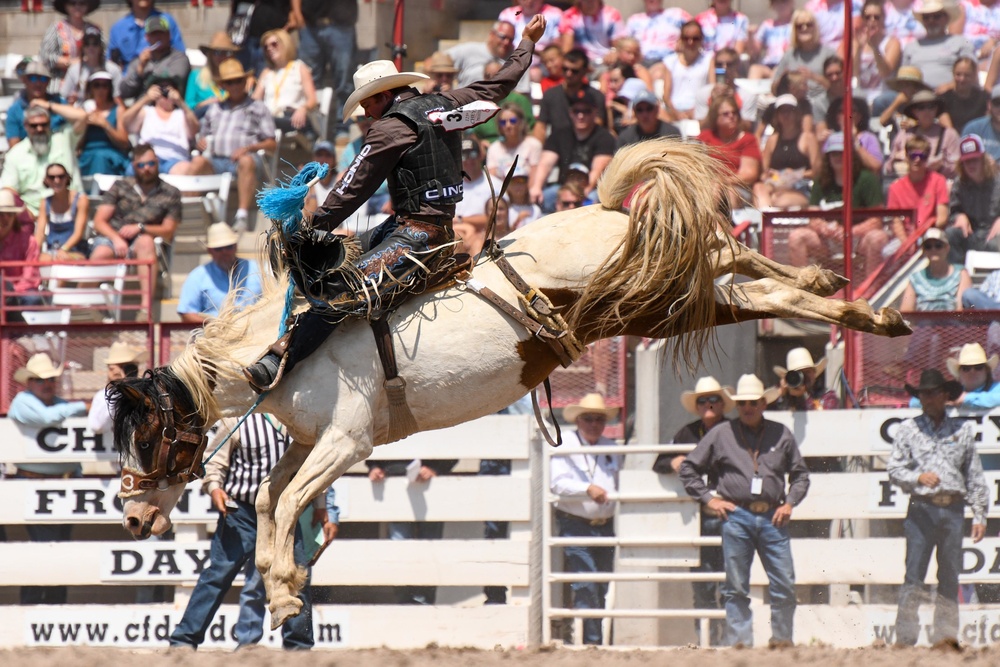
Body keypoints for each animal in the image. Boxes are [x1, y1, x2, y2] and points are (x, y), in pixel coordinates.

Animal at [107, 138, 908, 628]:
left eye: (147, 435)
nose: (134, 519)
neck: (286, 348)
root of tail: (601, 209)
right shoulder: (312, 443)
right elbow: (275, 500)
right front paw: (284, 591)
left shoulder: (346, 441)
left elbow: (291, 501)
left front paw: (281, 590)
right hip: (659, 296)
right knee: (747, 279)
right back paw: (853, 299)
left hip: (651, 293)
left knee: (729, 258)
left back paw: (851, 299)